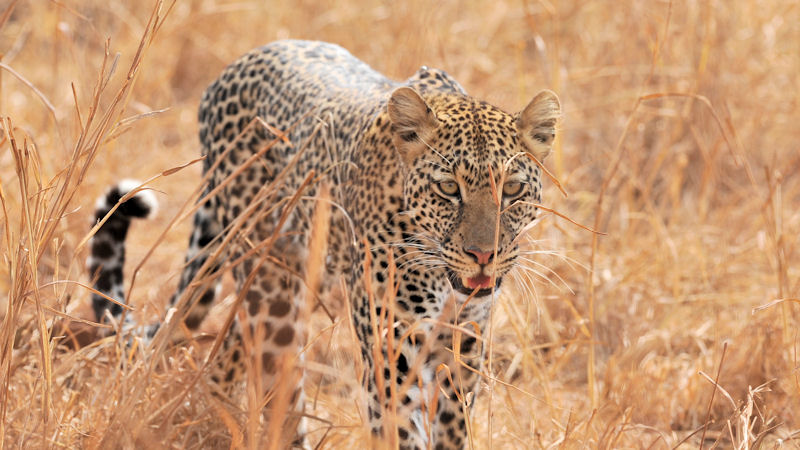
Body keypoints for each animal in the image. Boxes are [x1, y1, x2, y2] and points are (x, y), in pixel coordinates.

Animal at [88, 39, 560, 449]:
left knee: (227, 359)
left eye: (513, 189)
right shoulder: (392, 354)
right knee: (278, 392)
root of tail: (232, 67)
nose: (484, 255)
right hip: (271, 294)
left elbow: (452, 429)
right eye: (448, 189)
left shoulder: (463, 350)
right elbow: (400, 430)